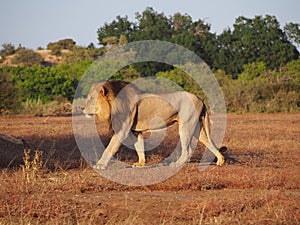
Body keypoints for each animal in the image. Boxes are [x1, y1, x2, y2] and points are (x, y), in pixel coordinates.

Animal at [82, 80, 225, 169]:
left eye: (91, 98)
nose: (81, 108)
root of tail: (200, 98)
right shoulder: (135, 131)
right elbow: (139, 147)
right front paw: (141, 164)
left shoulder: (122, 130)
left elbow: (110, 147)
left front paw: (100, 165)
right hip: (196, 128)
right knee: (207, 141)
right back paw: (220, 160)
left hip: (186, 126)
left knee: (188, 149)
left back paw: (177, 164)